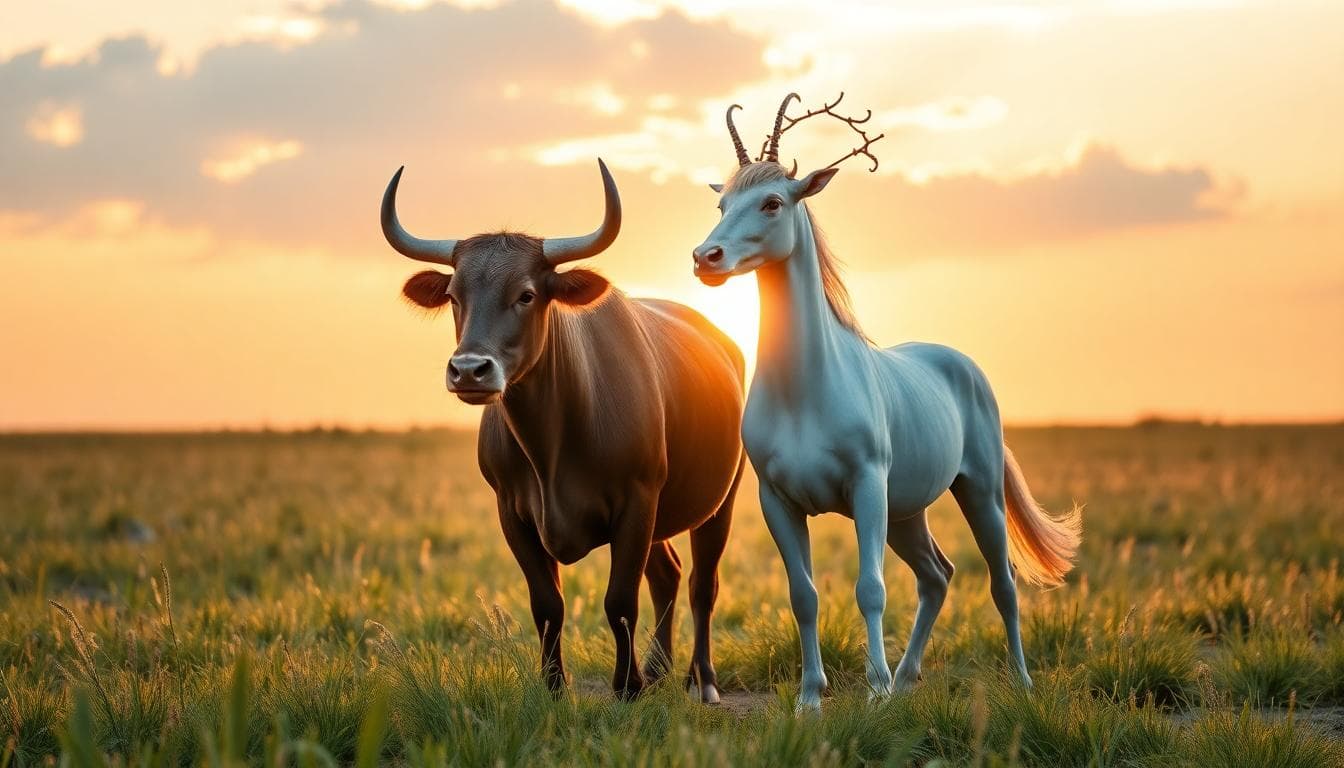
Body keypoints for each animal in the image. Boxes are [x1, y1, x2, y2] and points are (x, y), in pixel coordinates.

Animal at [381, 159, 745, 702]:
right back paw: (660, 669)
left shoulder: (636, 502)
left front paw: (627, 686)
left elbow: (619, 601)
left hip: (720, 500)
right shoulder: (513, 513)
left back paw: (701, 680)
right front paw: (554, 686)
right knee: (668, 574)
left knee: (703, 584)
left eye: (527, 294)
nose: (469, 371)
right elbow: (547, 605)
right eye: (453, 296)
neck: (551, 446)